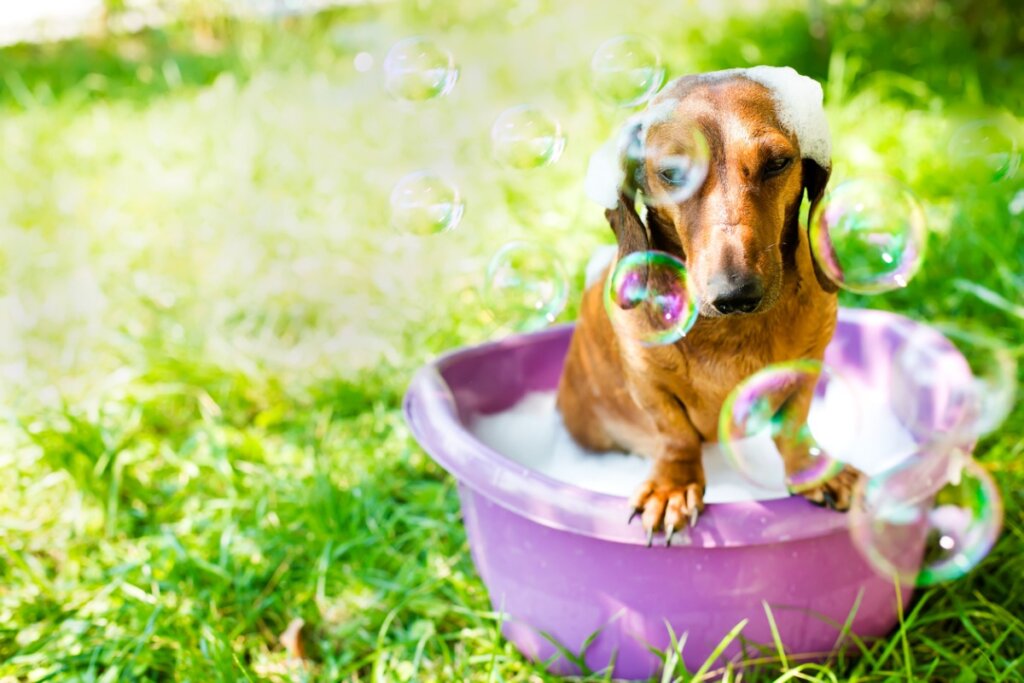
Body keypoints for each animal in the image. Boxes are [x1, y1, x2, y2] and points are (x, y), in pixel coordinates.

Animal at [557, 66, 860, 540]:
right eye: (672, 172)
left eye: (778, 163)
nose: (735, 293)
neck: (731, 334)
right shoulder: (649, 383)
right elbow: (675, 434)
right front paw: (672, 488)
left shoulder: (807, 366)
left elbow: (794, 425)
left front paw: (813, 470)